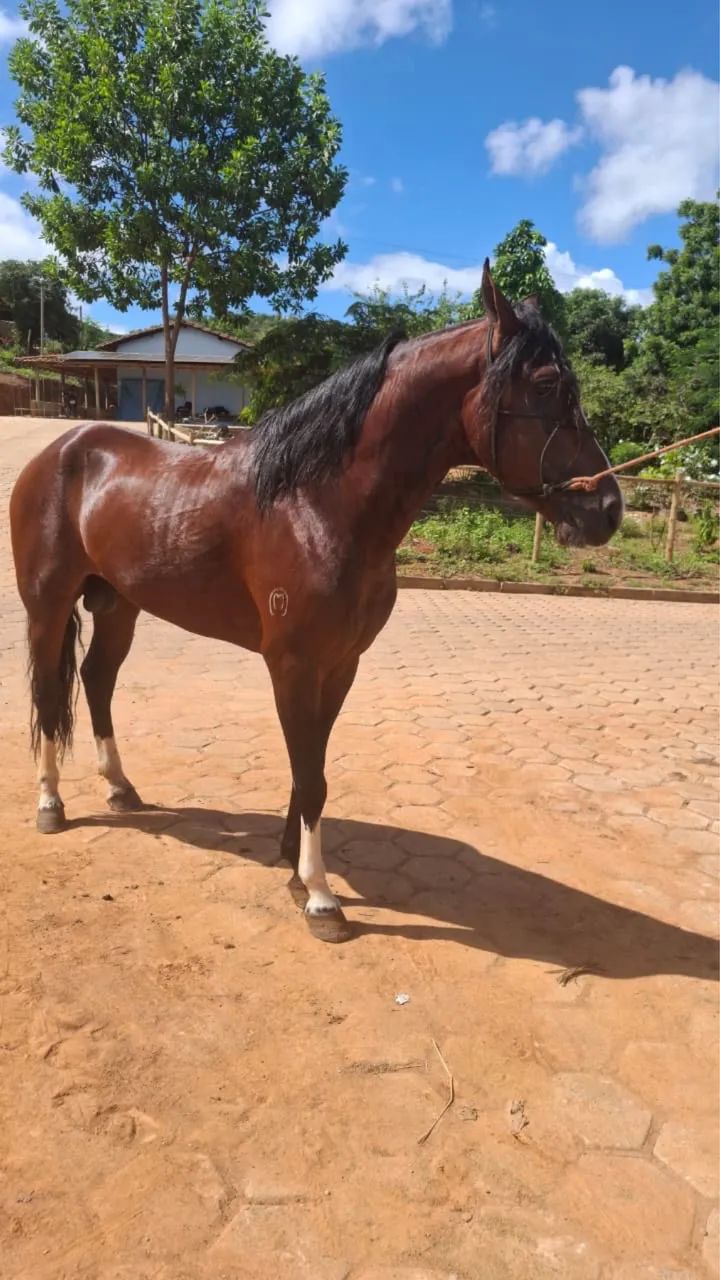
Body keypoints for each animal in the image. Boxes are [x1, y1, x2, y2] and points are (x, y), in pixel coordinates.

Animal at [10, 264, 623, 943]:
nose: (608, 508)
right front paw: (323, 899)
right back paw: (51, 803)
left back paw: (120, 788)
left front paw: (294, 866)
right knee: (47, 691)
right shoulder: (294, 665)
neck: (316, 503)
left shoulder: (341, 664)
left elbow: (314, 771)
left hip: (118, 605)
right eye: (546, 384)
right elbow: (310, 772)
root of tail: (60, 451)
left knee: (96, 680)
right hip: (47, 605)